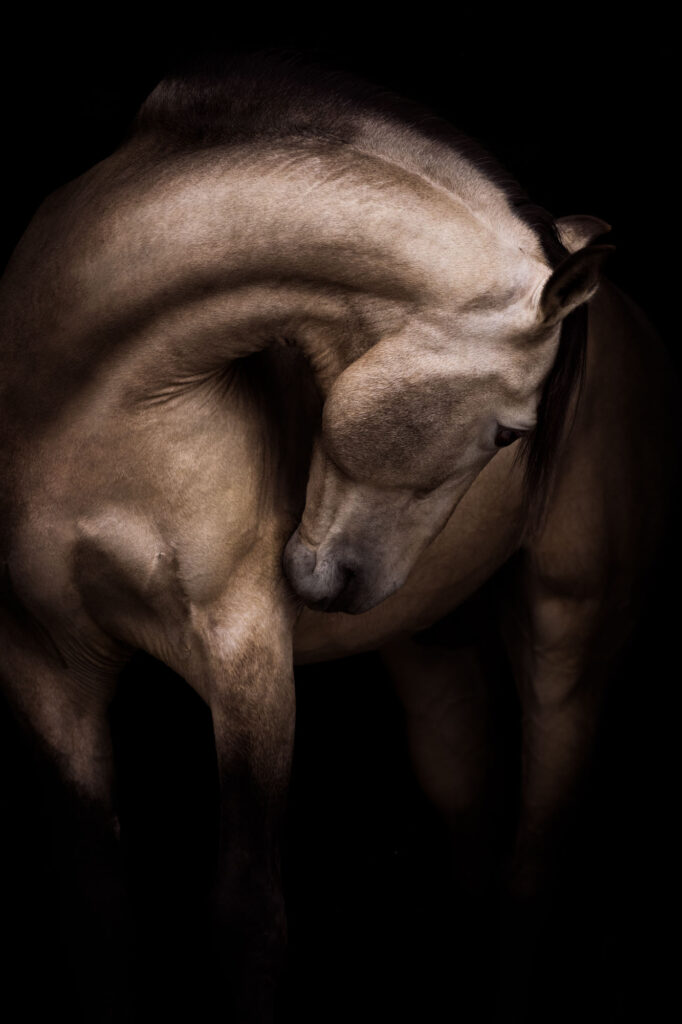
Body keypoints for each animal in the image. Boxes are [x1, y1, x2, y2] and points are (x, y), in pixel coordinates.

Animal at [0, 54, 675, 1021]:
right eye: (510, 431)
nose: (341, 585)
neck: (85, 397)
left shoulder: (244, 654)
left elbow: (248, 921)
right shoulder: (45, 665)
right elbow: (98, 918)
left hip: (570, 644)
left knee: (530, 868)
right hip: (430, 650)